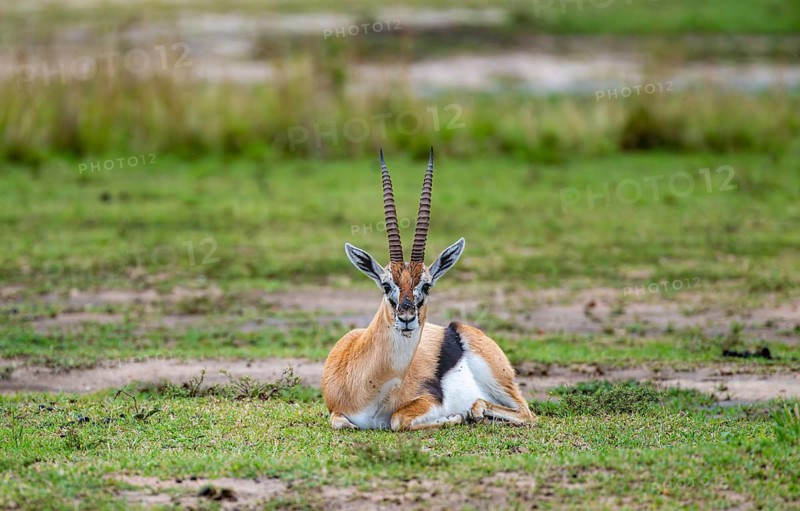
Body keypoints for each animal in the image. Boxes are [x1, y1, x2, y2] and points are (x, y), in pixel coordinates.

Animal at [321, 148, 536, 431]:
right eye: (386, 285)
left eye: (426, 285)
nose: (407, 318)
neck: (366, 385)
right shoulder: (336, 413)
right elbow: (342, 422)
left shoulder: (427, 400)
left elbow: (397, 420)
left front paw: (453, 416)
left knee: (525, 412)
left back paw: (474, 412)